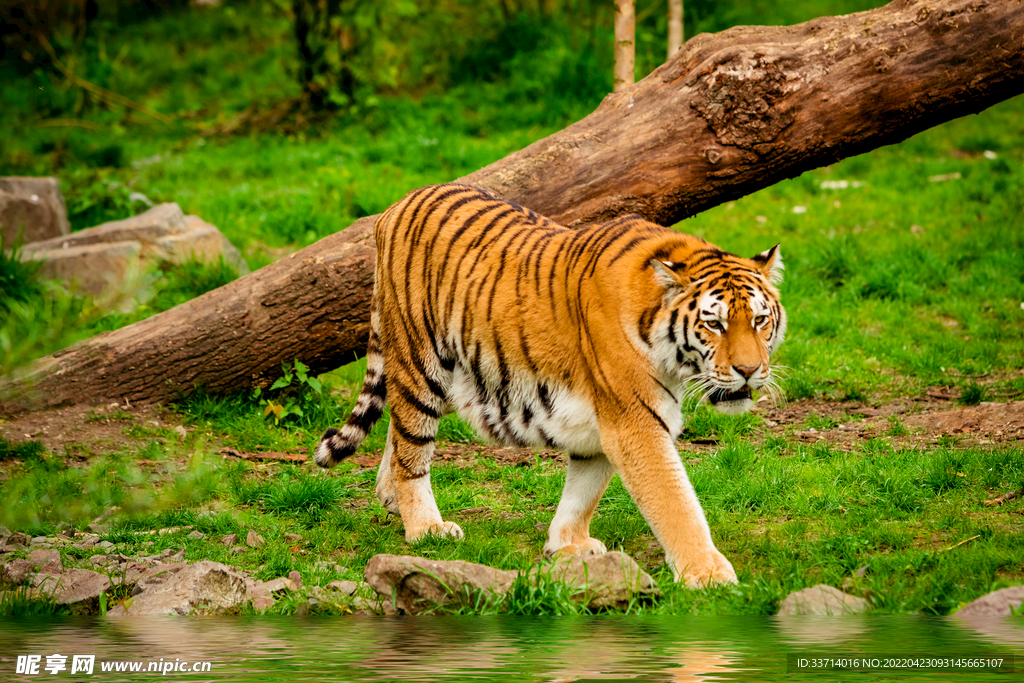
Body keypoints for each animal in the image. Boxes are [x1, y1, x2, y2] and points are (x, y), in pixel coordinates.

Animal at [314, 183, 786, 587]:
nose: (749, 370)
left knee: (397, 430)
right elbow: (675, 502)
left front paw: (568, 544)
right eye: (714, 324)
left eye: (760, 320)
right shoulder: (635, 421)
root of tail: (397, 205)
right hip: (422, 361)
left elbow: (584, 489)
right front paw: (708, 574)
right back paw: (425, 528)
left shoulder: (604, 420)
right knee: (412, 445)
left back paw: (390, 496)